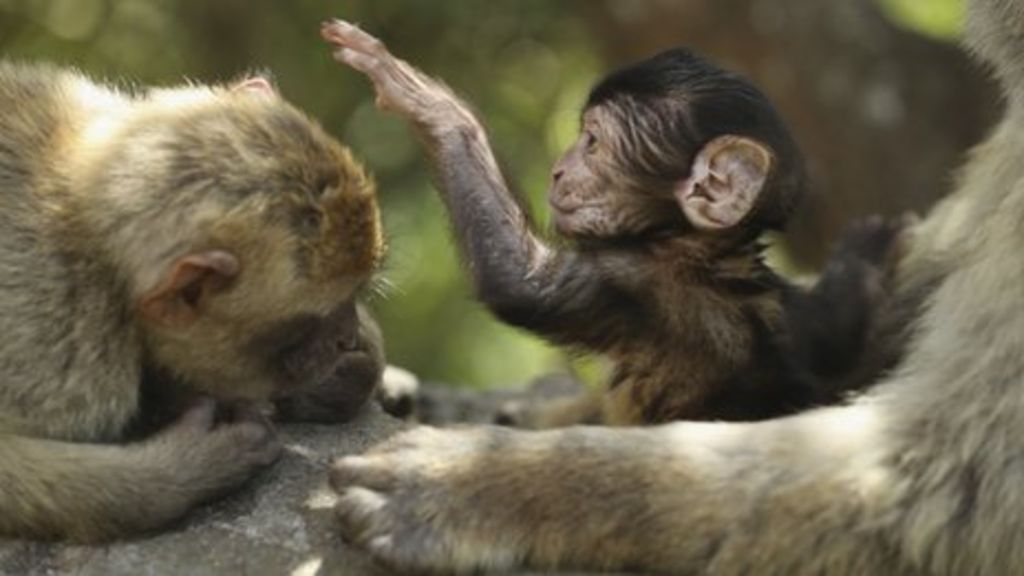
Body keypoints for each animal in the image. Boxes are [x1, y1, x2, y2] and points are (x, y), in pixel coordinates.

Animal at [322, 22, 903, 427]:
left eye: (593, 143)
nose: (559, 168)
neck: (699, 248)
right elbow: (837, 324)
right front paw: (869, 250)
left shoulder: (646, 288)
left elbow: (521, 279)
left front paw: (431, 105)